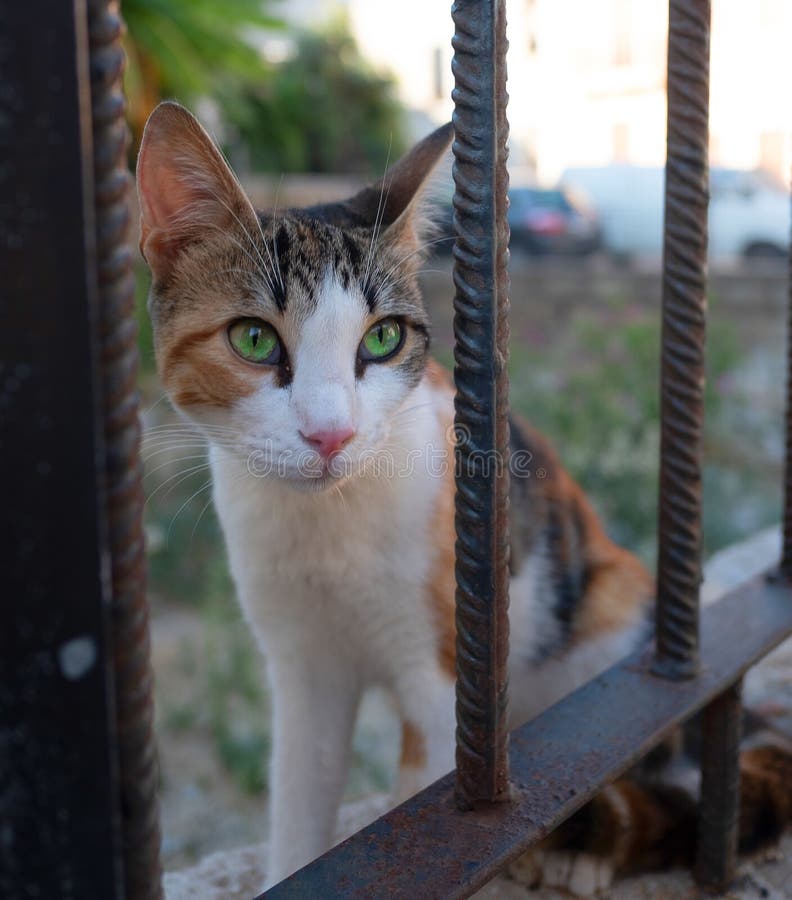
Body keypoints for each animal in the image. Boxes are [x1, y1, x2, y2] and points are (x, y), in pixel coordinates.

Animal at [138, 100, 792, 892]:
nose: (331, 434)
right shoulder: (302, 666)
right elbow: (299, 802)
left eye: (383, 339)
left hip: (610, 612)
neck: (327, 527)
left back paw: (587, 847)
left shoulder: (443, 675)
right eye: (255, 341)